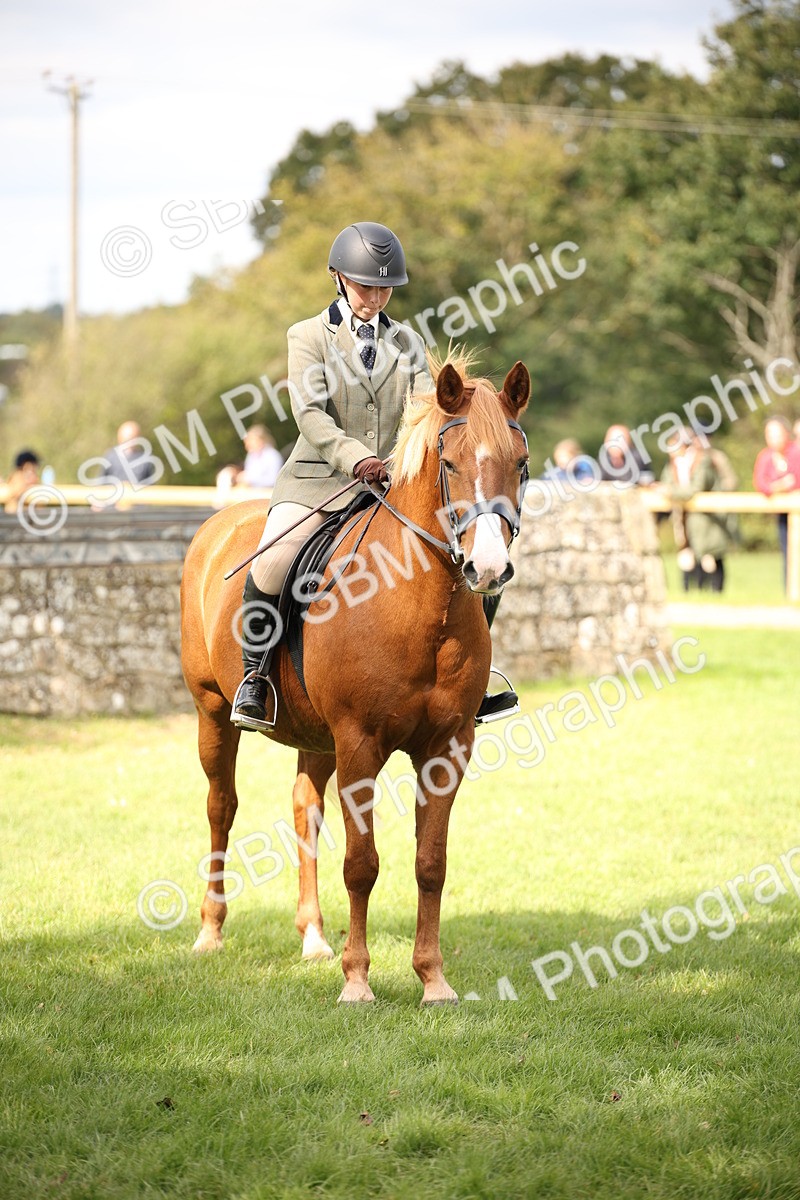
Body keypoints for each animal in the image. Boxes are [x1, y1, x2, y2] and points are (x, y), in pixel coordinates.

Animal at [180, 353, 531, 1004]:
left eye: (519, 464)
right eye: (450, 463)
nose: (488, 567)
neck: (417, 603)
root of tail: (219, 524)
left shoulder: (446, 748)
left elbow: (430, 864)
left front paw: (433, 979)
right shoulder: (359, 743)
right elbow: (362, 864)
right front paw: (358, 982)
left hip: (317, 739)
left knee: (304, 808)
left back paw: (314, 937)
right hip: (213, 712)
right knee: (221, 806)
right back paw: (210, 932)